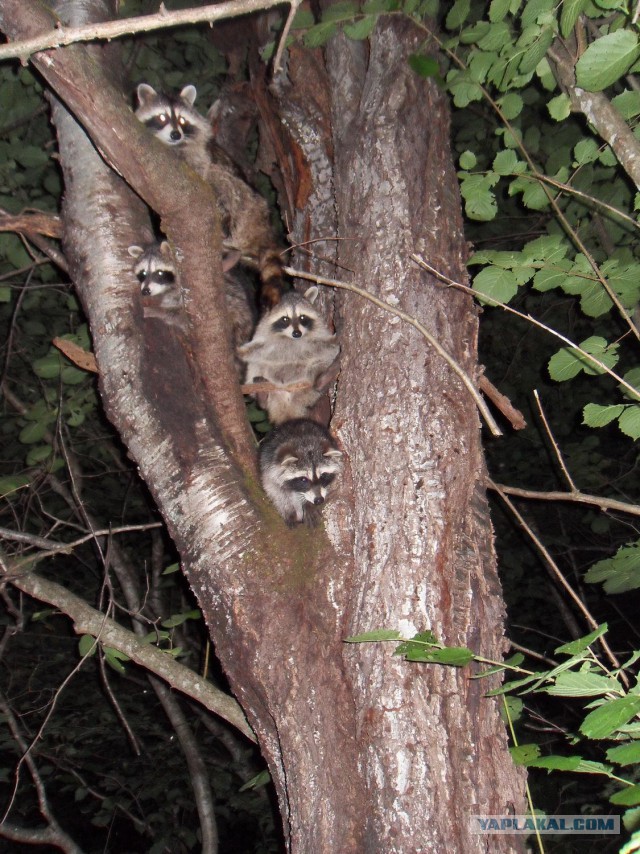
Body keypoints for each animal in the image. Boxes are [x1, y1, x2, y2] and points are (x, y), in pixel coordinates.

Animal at [127, 239, 255, 350]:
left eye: (159, 273)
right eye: (143, 273)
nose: (145, 291)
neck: (170, 286)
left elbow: (179, 314)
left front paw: (155, 310)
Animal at [134, 83, 282, 310]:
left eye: (182, 121)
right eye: (162, 117)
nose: (176, 134)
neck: (173, 147)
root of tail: (265, 225)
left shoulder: (198, 157)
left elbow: (203, 169)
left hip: (247, 205)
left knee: (217, 176)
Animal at [238, 288, 340, 428]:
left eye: (302, 317)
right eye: (285, 319)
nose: (297, 333)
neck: (290, 339)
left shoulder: (317, 334)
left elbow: (324, 347)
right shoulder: (263, 335)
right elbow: (255, 349)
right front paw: (238, 351)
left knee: (320, 365)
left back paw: (322, 379)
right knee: (256, 365)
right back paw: (262, 397)